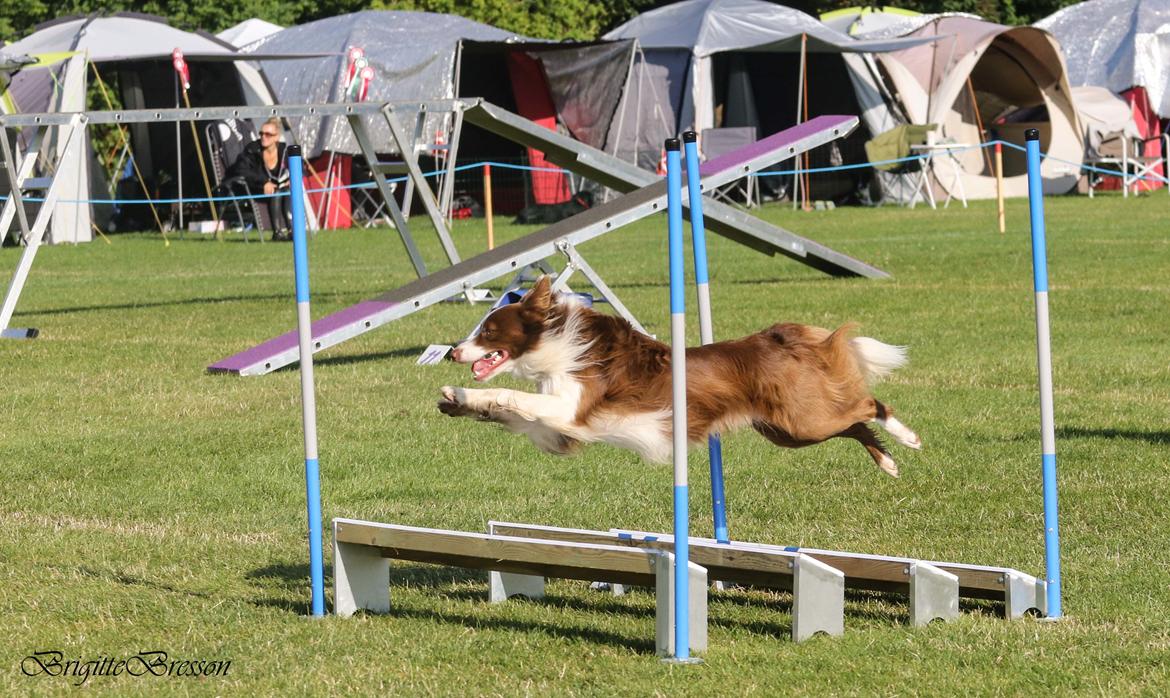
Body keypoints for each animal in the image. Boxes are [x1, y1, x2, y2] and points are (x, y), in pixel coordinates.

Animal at [439, 274, 921, 477]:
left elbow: (512, 395)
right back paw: (888, 462)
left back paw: (907, 437)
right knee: (854, 422)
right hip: (787, 430)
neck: (559, 345)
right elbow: (506, 411)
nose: (452, 351)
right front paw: (456, 398)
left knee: (868, 405)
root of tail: (775, 337)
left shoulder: (572, 410)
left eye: (487, 331)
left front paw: (471, 396)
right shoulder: (558, 433)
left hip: (805, 421)